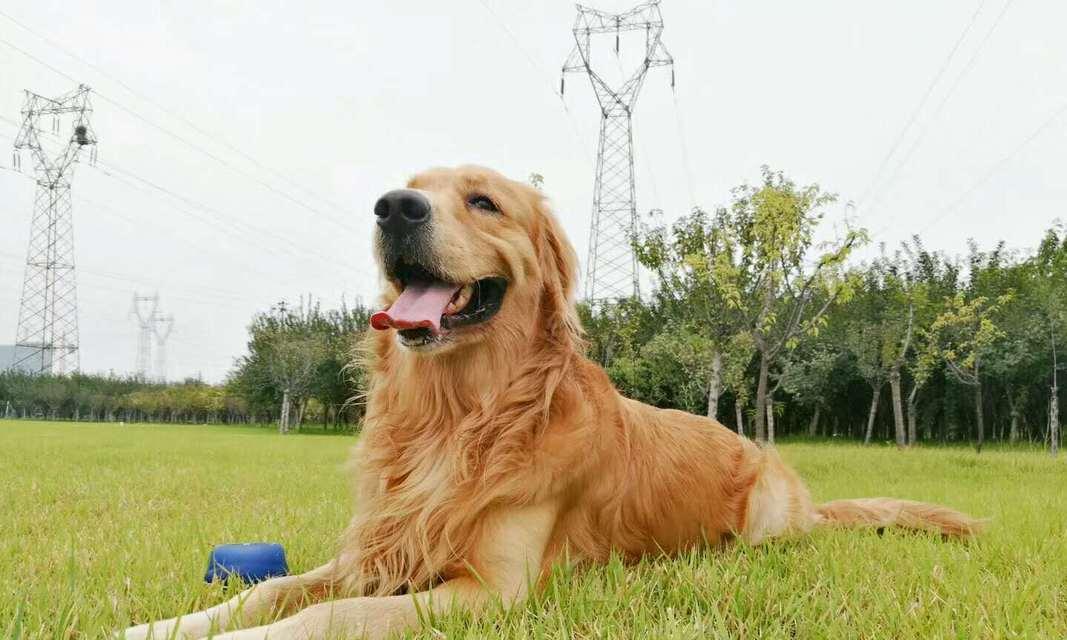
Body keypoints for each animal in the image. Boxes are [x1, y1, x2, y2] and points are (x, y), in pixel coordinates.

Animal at [121, 166, 977, 640]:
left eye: (482, 201)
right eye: (412, 190)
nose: (393, 208)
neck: (459, 415)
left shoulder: (488, 590)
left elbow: (333, 616)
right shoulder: (379, 550)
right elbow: (272, 587)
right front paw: (167, 624)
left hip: (763, 513)